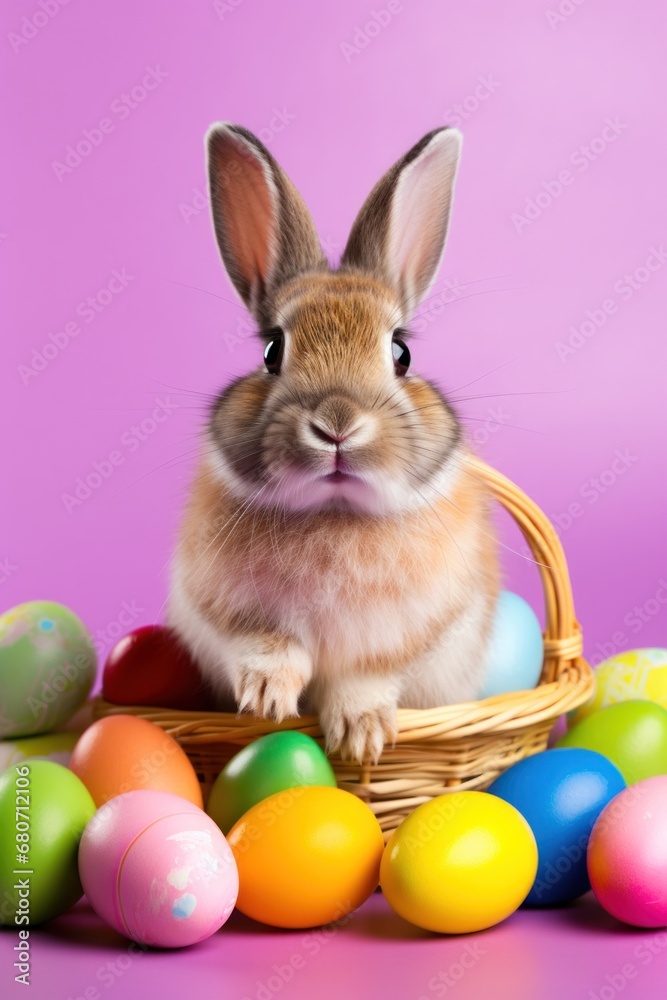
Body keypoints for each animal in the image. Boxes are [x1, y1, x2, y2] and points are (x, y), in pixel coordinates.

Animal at [167, 121, 500, 760]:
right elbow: (269, 647)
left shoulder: (408, 637)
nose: (337, 425)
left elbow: (365, 676)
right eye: (272, 350)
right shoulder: (226, 614)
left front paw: (362, 735)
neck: (335, 512)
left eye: (401, 352)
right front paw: (266, 699)